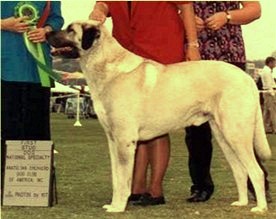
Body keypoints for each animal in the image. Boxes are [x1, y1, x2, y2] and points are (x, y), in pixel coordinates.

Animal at [46, 20, 270, 212]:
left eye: (70, 29)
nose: (47, 33)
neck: (106, 64)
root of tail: (247, 78)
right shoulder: (113, 140)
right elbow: (116, 178)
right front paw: (114, 204)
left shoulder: (125, 140)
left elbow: (124, 179)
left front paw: (118, 207)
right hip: (223, 136)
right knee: (241, 171)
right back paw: (241, 203)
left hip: (236, 134)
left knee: (256, 171)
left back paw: (260, 207)